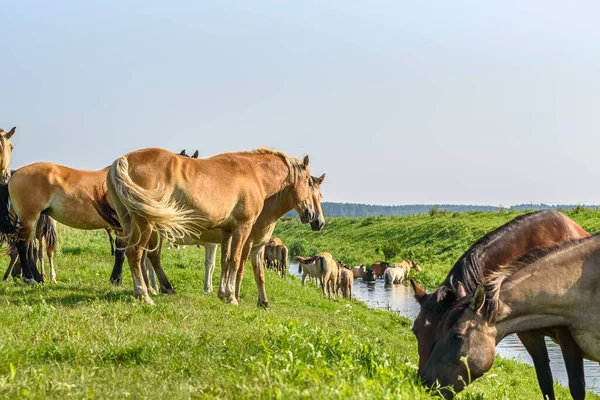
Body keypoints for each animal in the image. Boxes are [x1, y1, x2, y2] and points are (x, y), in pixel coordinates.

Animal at [105, 148, 326, 304]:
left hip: (132, 225)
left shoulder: (227, 232)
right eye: (309, 183)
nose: (316, 219)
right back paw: (145, 295)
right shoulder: (243, 230)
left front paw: (223, 293)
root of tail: (121, 161)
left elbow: (226, 261)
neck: (253, 173)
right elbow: (236, 262)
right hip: (146, 225)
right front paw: (232, 297)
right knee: (136, 254)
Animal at [410, 209, 588, 400]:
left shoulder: (568, 338)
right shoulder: (529, 337)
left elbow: (577, 388)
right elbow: (545, 383)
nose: (423, 384)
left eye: (445, 334)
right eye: (416, 331)